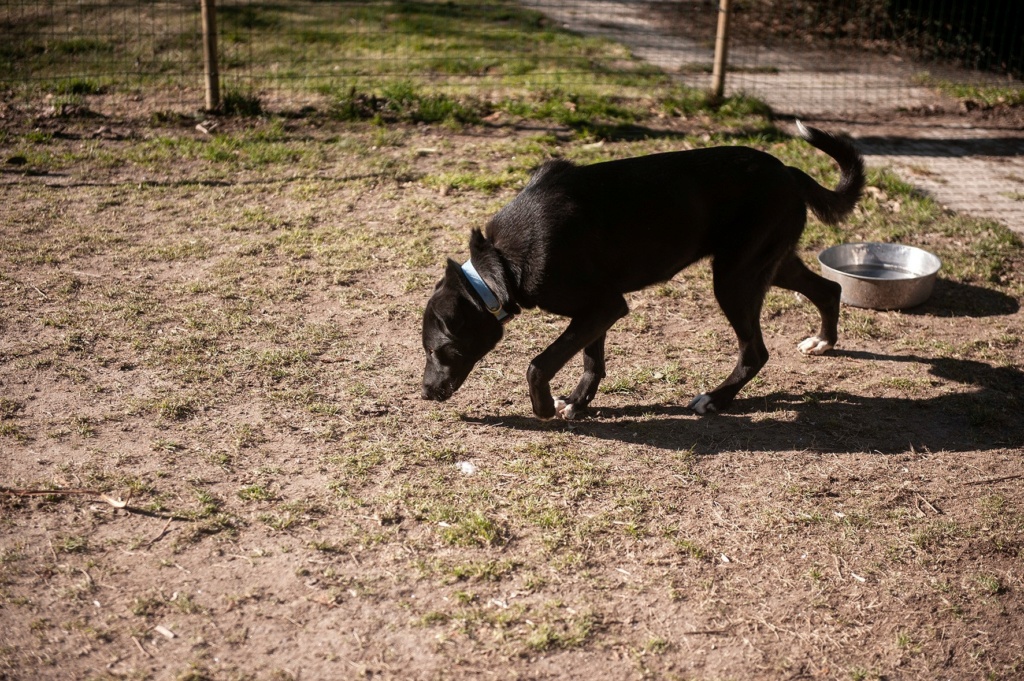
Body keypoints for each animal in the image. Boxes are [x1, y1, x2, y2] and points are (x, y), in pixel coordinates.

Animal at [421, 123, 864, 419]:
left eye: (438, 350)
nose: (425, 392)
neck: (494, 268)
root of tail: (789, 172)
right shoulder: (596, 310)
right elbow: (591, 359)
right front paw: (577, 401)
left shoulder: (603, 306)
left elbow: (539, 364)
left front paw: (544, 407)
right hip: (767, 264)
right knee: (828, 289)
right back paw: (823, 341)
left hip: (734, 278)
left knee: (755, 351)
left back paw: (715, 399)